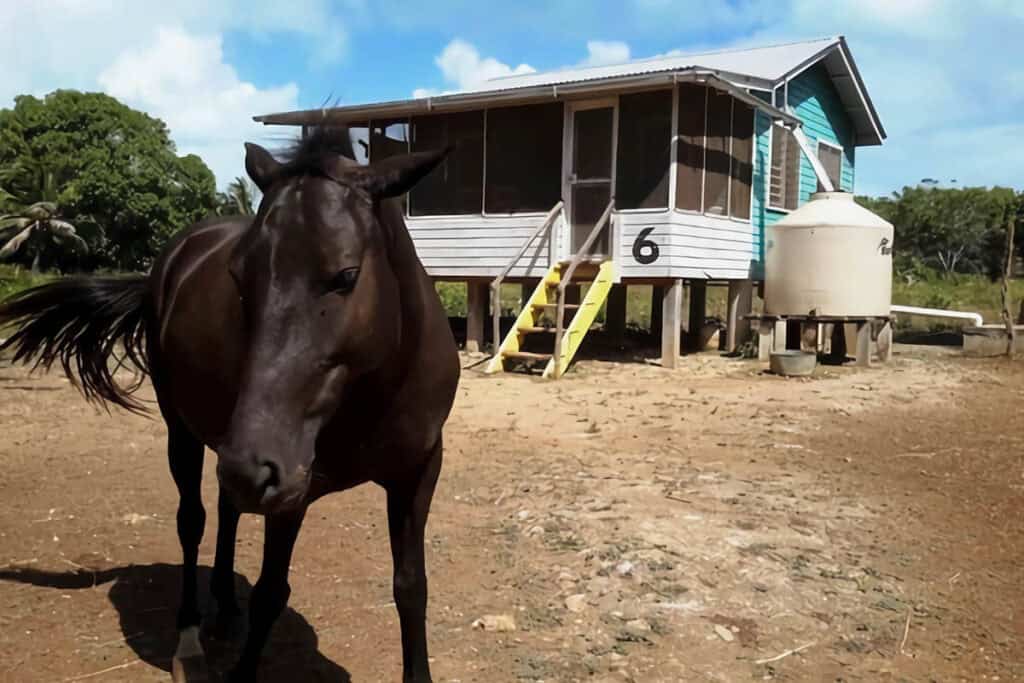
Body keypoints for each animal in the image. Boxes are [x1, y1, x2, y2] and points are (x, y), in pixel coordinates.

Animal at [0, 129, 460, 683]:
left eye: (347, 275)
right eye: (239, 277)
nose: (252, 464)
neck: (376, 386)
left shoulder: (418, 473)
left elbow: (411, 587)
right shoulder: (292, 488)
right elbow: (270, 593)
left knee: (227, 508)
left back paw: (222, 606)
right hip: (187, 434)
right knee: (193, 519)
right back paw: (191, 635)